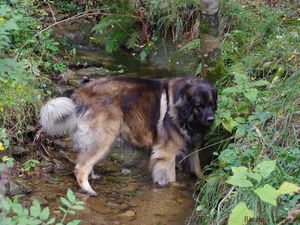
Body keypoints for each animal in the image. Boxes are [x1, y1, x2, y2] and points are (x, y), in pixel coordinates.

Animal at [40, 76, 218, 196]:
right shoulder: (166, 154)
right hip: (104, 140)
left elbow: (197, 168)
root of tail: (80, 95)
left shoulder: (192, 148)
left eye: (211, 104)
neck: (183, 110)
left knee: (84, 161)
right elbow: (171, 178)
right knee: (80, 168)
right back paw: (89, 190)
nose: (211, 119)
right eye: (199, 106)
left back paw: (93, 178)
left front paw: (206, 181)